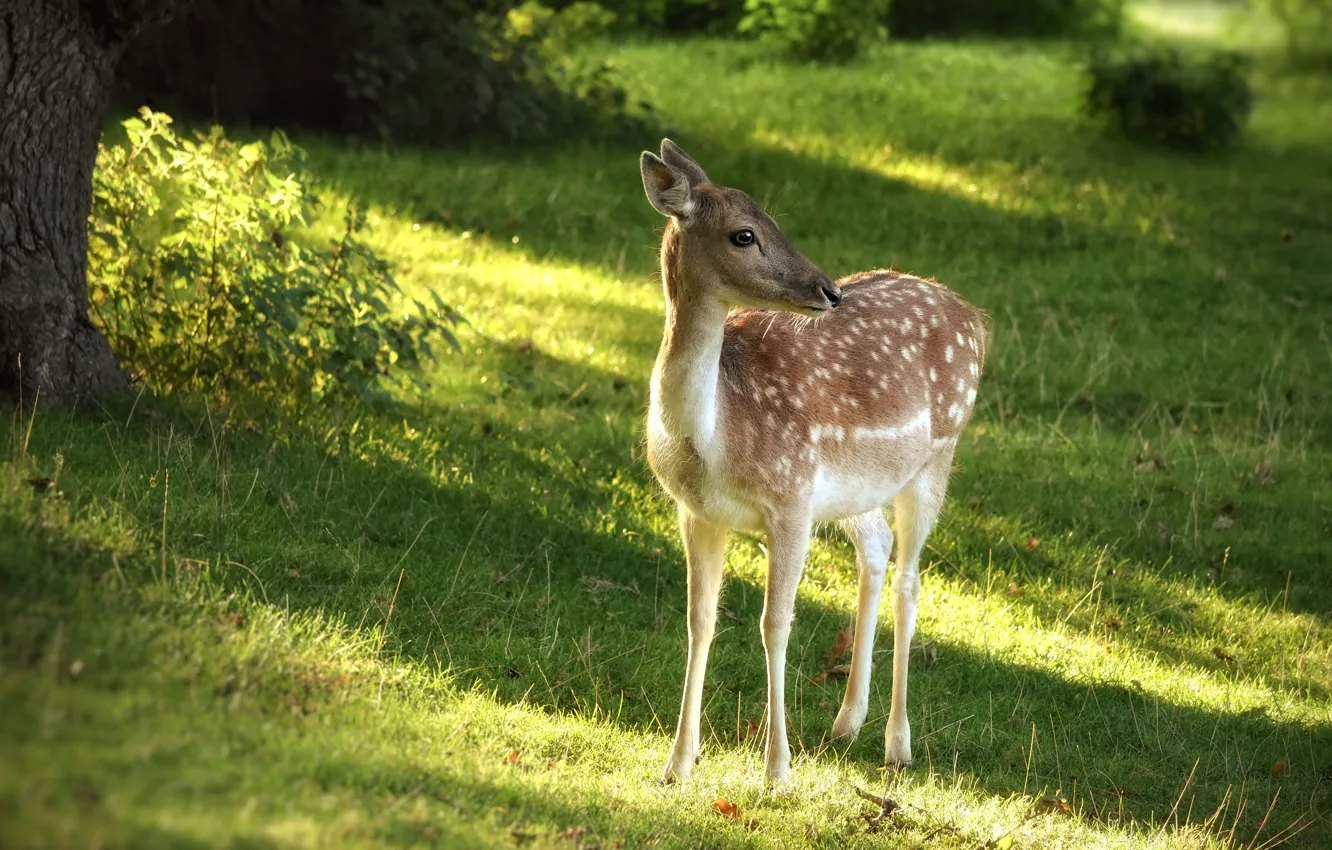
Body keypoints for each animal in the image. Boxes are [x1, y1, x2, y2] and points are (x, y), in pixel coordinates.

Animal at [639, 140, 988, 787]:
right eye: (744, 233)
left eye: (773, 219)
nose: (828, 290)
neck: (713, 438)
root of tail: (977, 316)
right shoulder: (696, 512)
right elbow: (700, 620)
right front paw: (677, 764)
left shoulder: (791, 500)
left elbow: (775, 625)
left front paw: (776, 769)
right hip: (857, 488)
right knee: (876, 548)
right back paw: (846, 720)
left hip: (938, 454)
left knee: (910, 579)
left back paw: (897, 744)